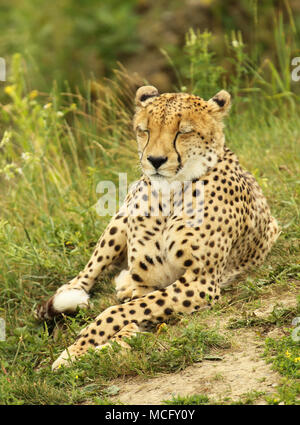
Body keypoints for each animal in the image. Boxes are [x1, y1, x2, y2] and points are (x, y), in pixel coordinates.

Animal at [36, 85, 280, 368]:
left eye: (183, 131)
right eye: (145, 130)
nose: (155, 160)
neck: (170, 194)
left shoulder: (200, 282)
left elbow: (120, 312)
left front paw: (86, 349)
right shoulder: (149, 282)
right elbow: (129, 309)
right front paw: (82, 349)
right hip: (119, 219)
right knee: (90, 269)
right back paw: (74, 290)